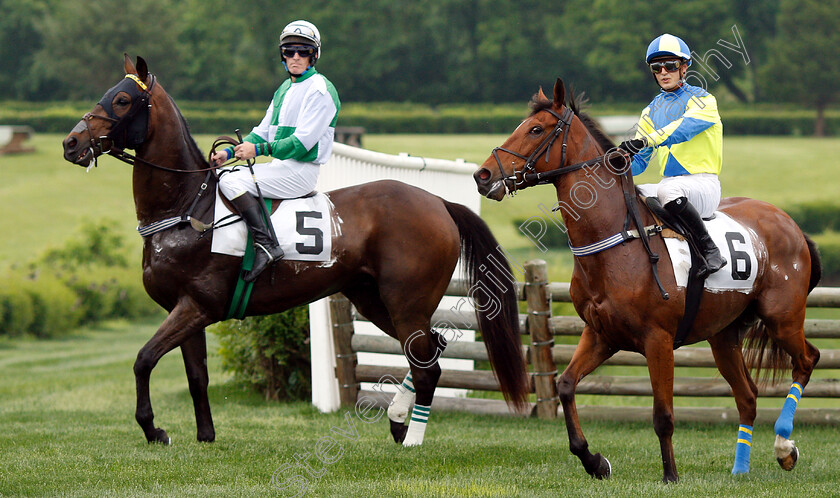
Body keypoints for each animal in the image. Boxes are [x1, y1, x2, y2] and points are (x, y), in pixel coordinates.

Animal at [62, 55, 528, 448]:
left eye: (122, 99)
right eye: (107, 92)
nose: (71, 143)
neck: (187, 206)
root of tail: (438, 202)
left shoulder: (196, 307)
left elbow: (143, 360)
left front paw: (153, 430)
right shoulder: (184, 310)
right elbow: (197, 376)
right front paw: (205, 435)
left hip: (406, 302)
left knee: (427, 362)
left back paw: (411, 438)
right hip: (374, 299)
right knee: (431, 351)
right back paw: (399, 421)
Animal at [472, 78, 820, 482]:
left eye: (536, 129)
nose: (483, 175)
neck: (616, 243)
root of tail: (790, 223)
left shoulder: (659, 341)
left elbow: (663, 415)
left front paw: (670, 475)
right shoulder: (601, 334)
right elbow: (565, 385)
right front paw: (594, 461)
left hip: (782, 318)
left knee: (807, 360)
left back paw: (784, 446)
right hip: (723, 335)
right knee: (747, 396)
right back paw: (740, 468)